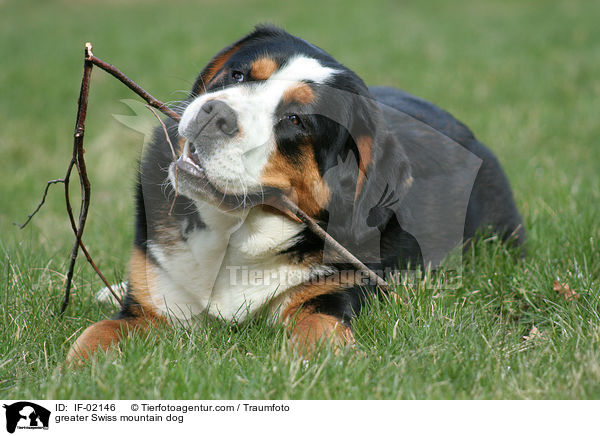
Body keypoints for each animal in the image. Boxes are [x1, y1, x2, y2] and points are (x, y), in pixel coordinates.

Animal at [67, 24, 524, 364]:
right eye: (238, 75)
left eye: (295, 120)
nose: (216, 114)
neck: (235, 235)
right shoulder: (152, 305)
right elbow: (99, 332)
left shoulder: (335, 290)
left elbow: (318, 325)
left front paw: (319, 362)